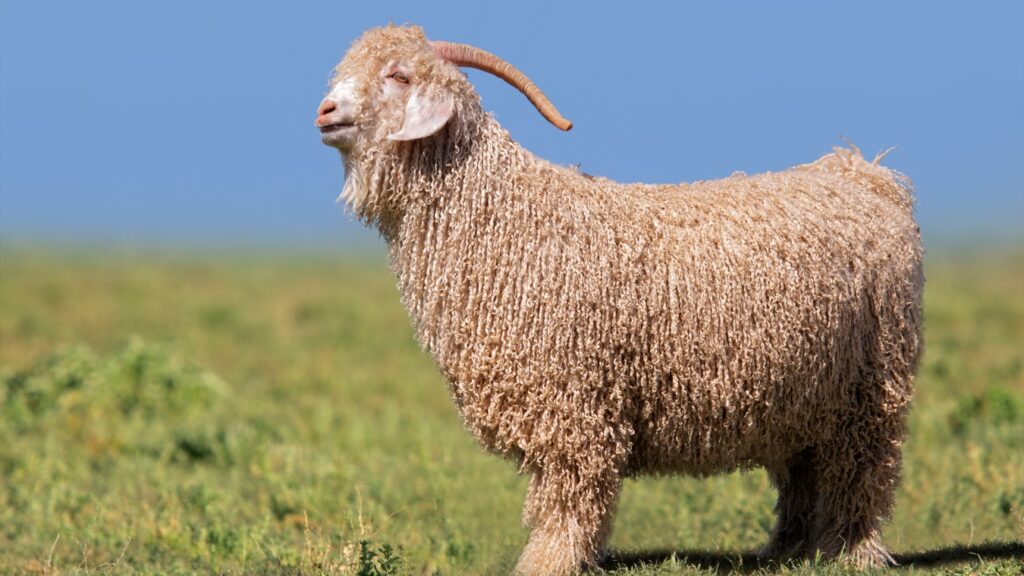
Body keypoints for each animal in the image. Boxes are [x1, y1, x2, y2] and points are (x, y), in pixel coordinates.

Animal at [315, 23, 925, 573]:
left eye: (398, 75)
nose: (324, 111)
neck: (506, 216)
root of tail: (864, 174)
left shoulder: (573, 400)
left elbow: (569, 494)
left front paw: (547, 562)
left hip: (872, 382)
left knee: (861, 472)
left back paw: (852, 551)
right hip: (804, 395)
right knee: (803, 472)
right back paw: (787, 551)